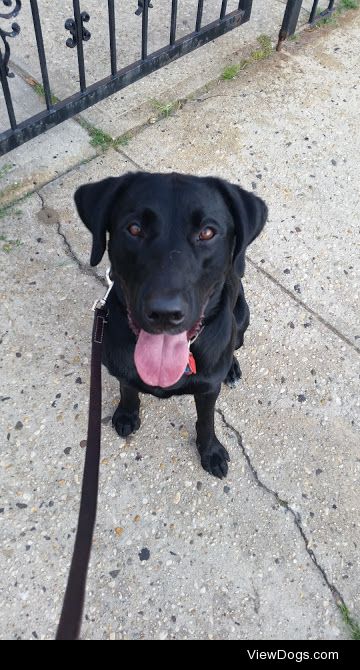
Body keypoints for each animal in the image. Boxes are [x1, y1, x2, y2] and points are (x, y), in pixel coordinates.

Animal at [75, 173, 268, 478]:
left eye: (207, 233)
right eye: (134, 228)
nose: (164, 313)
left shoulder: (208, 389)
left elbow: (206, 420)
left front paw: (210, 450)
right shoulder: (121, 370)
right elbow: (127, 389)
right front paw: (127, 413)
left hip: (243, 315)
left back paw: (232, 368)